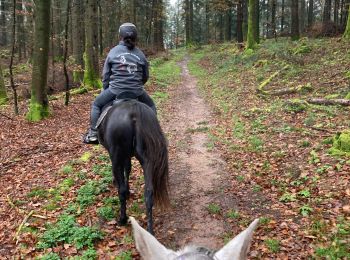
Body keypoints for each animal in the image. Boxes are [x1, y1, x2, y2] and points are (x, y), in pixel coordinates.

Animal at [98, 98, 170, 233]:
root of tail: (135, 111)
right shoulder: (128, 156)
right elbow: (128, 168)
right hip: (147, 159)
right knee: (149, 193)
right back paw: (150, 230)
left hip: (116, 156)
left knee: (120, 190)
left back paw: (122, 219)